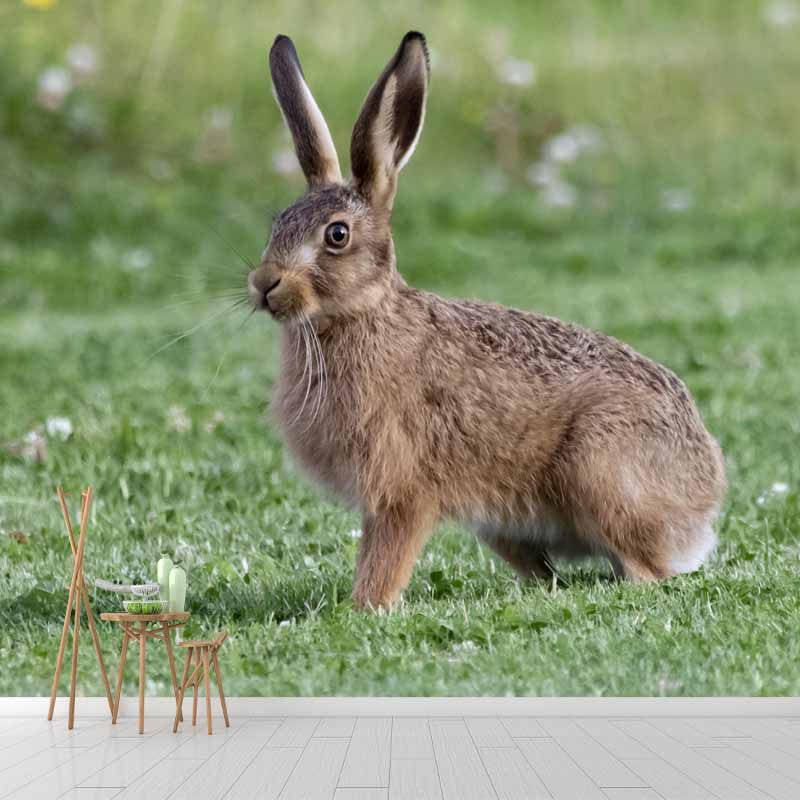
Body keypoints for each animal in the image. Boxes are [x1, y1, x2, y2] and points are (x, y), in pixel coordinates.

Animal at [248, 32, 727, 610]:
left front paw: (366, 607)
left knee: (645, 571)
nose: (264, 284)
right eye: (278, 223)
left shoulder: (403, 490)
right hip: (502, 525)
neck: (359, 315)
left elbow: (384, 558)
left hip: (601, 469)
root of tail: (705, 494)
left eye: (336, 235)